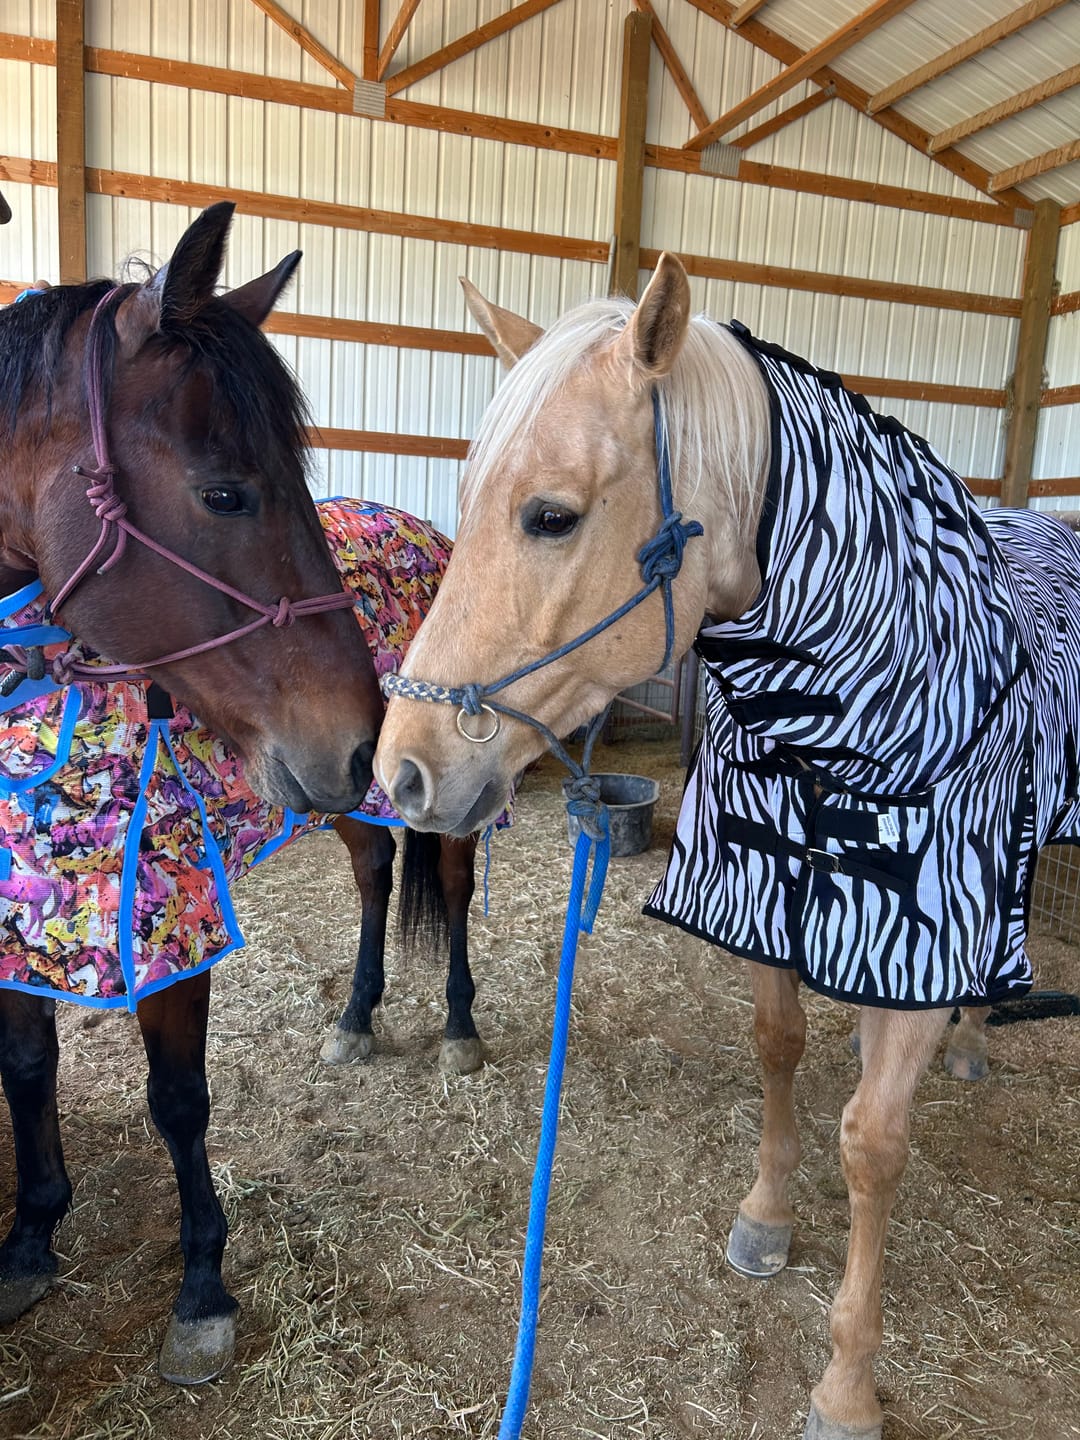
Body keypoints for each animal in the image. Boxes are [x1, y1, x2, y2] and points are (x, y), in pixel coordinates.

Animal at [0, 204, 486, 1386]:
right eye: (225, 491)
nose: (359, 733)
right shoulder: (17, 927)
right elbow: (27, 1067)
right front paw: (31, 1236)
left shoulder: (165, 934)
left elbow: (178, 1101)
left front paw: (203, 1287)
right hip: (353, 801)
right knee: (373, 876)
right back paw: (356, 1017)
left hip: (421, 794)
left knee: (449, 888)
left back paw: (456, 1024)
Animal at [374, 253, 1080, 1440]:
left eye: (551, 516)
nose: (404, 774)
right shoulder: (763, 893)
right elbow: (777, 1048)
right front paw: (766, 1217)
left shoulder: (922, 931)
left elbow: (873, 1142)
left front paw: (846, 1383)